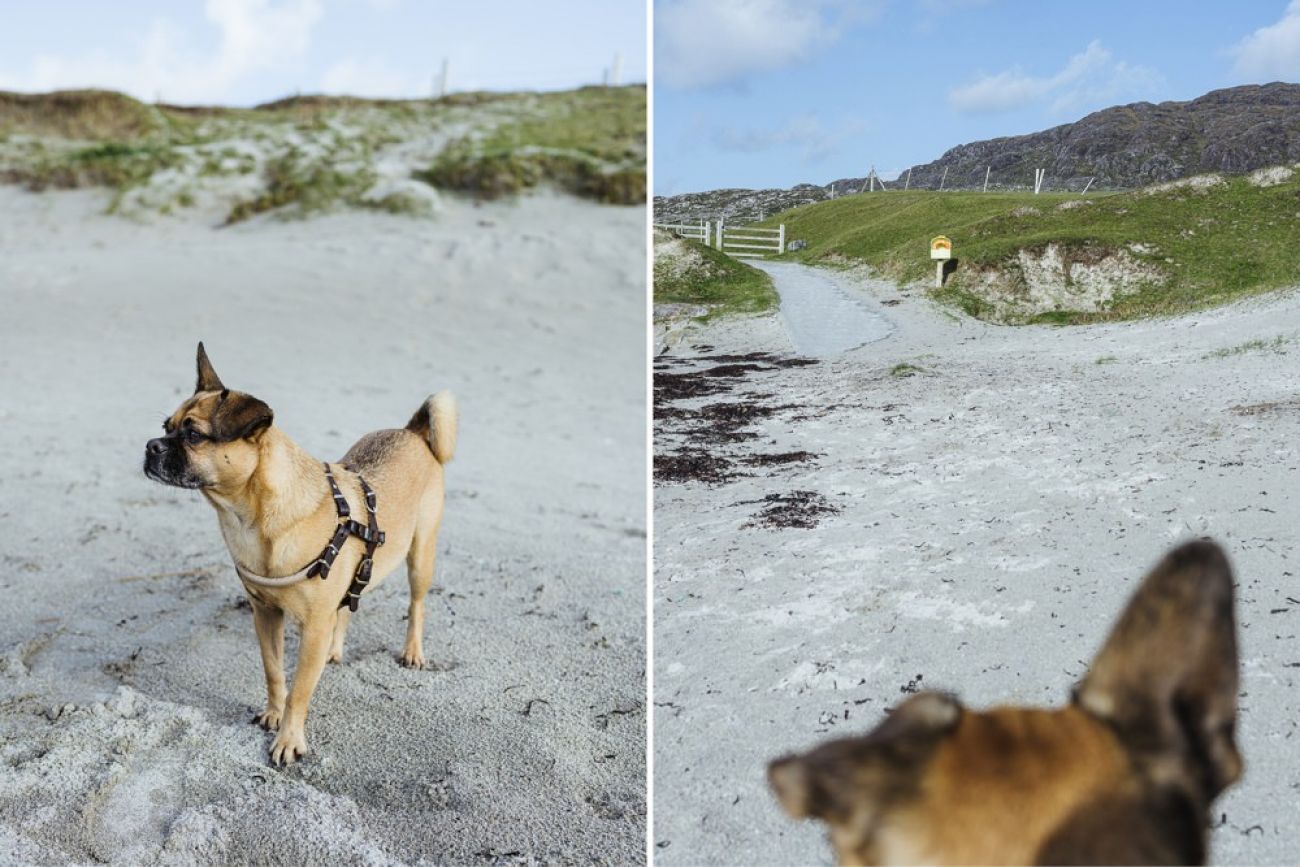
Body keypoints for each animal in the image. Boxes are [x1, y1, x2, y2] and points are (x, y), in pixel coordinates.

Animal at [141, 345, 457, 764]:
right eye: (166, 427)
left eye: (193, 435)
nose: (151, 446)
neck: (251, 517)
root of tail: (412, 431)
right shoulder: (265, 615)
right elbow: (275, 673)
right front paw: (274, 714)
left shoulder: (312, 629)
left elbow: (300, 692)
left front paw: (289, 738)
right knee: (348, 606)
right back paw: (335, 651)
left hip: (420, 557)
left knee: (416, 606)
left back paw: (413, 651)